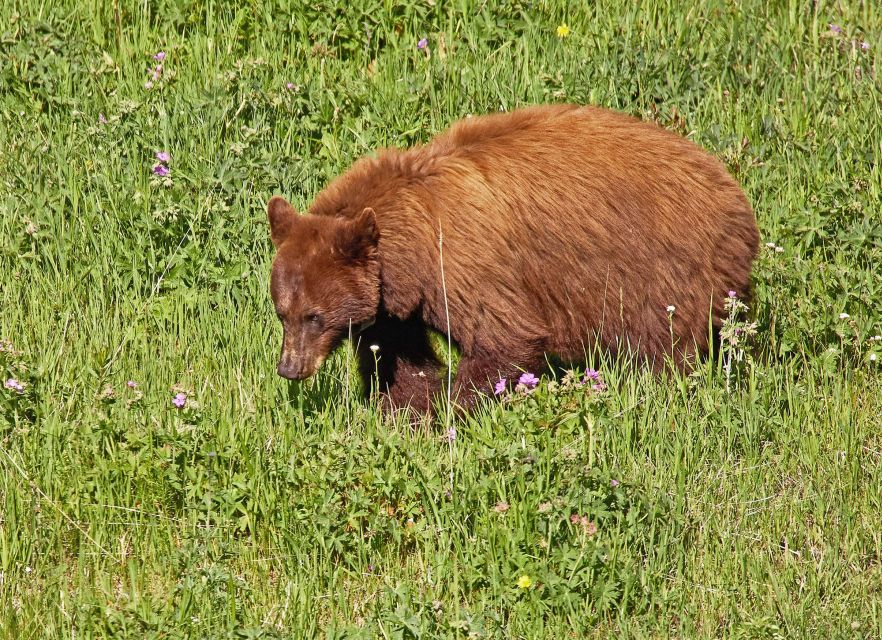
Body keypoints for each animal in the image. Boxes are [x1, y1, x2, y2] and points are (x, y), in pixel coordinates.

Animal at [266, 104, 756, 416]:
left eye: (314, 315)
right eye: (282, 312)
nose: (289, 368)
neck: (409, 246)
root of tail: (737, 197)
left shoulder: (463, 263)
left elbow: (504, 338)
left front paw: (446, 411)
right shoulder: (393, 302)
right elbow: (399, 356)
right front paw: (401, 407)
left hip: (665, 269)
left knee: (664, 347)